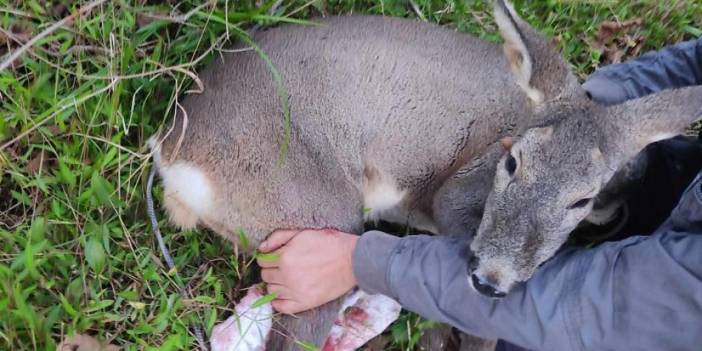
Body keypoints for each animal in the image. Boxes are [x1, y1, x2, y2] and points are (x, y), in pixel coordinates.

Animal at [146, 0, 700, 350]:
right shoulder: (456, 191)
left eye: (581, 198)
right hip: (311, 211)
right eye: (513, 161)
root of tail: (174, 155)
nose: (491, 279)